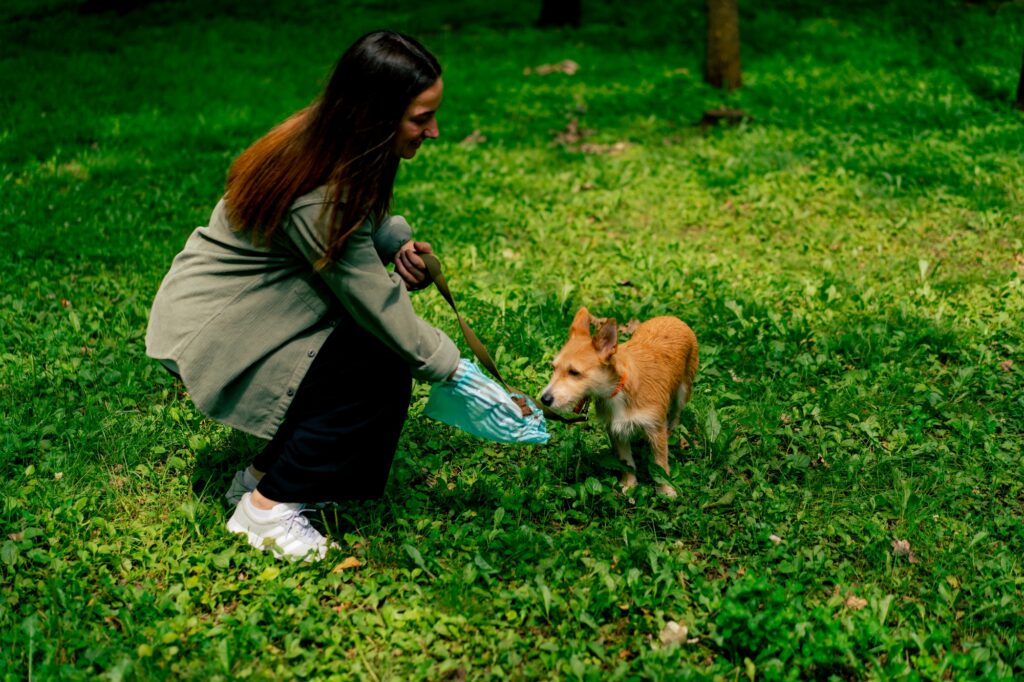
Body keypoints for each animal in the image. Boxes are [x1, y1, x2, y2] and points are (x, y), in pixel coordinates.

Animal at [540, 307, 700, 493]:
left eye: (574, 372)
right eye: (553, 368)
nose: (544, 399)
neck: (617, 390)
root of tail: (671, 318)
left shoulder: (655, 429)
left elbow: (660, 464)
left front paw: (665, 490)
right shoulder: (618, 431)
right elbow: (626, 462)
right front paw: (629, 485)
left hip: (683, 391)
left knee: (676, 414)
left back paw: (672, 431)